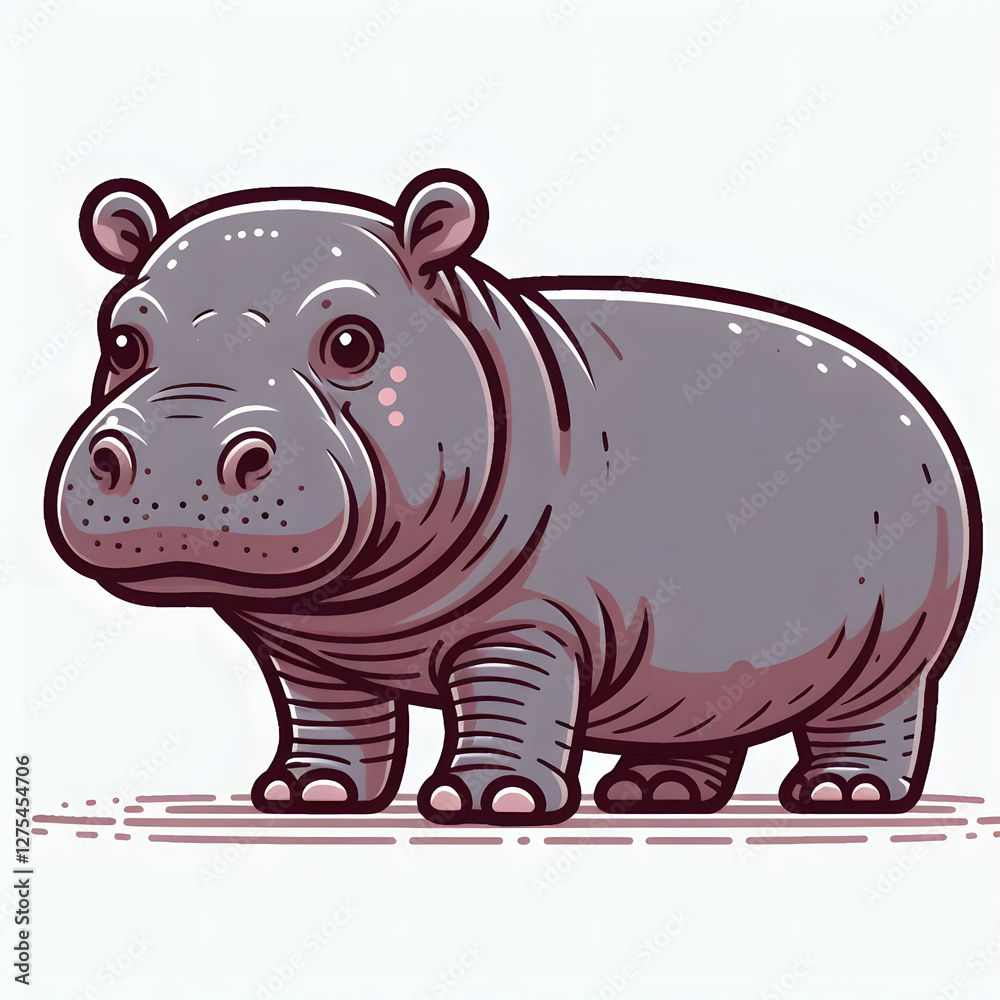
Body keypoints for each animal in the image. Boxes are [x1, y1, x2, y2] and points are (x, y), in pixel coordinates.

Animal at [45, 169, 981, 826]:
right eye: (121, 340)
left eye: (351, 341)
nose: (174, 454)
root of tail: (911, 389)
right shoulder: (306, 650)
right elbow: (332, 716)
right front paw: (305, 793)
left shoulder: (532, 619)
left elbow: (509, 699)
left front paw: (486, 802)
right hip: (717, 655)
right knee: (714, 714)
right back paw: (657, 791)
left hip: (901, 639)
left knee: (876, 713)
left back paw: (842, 794)